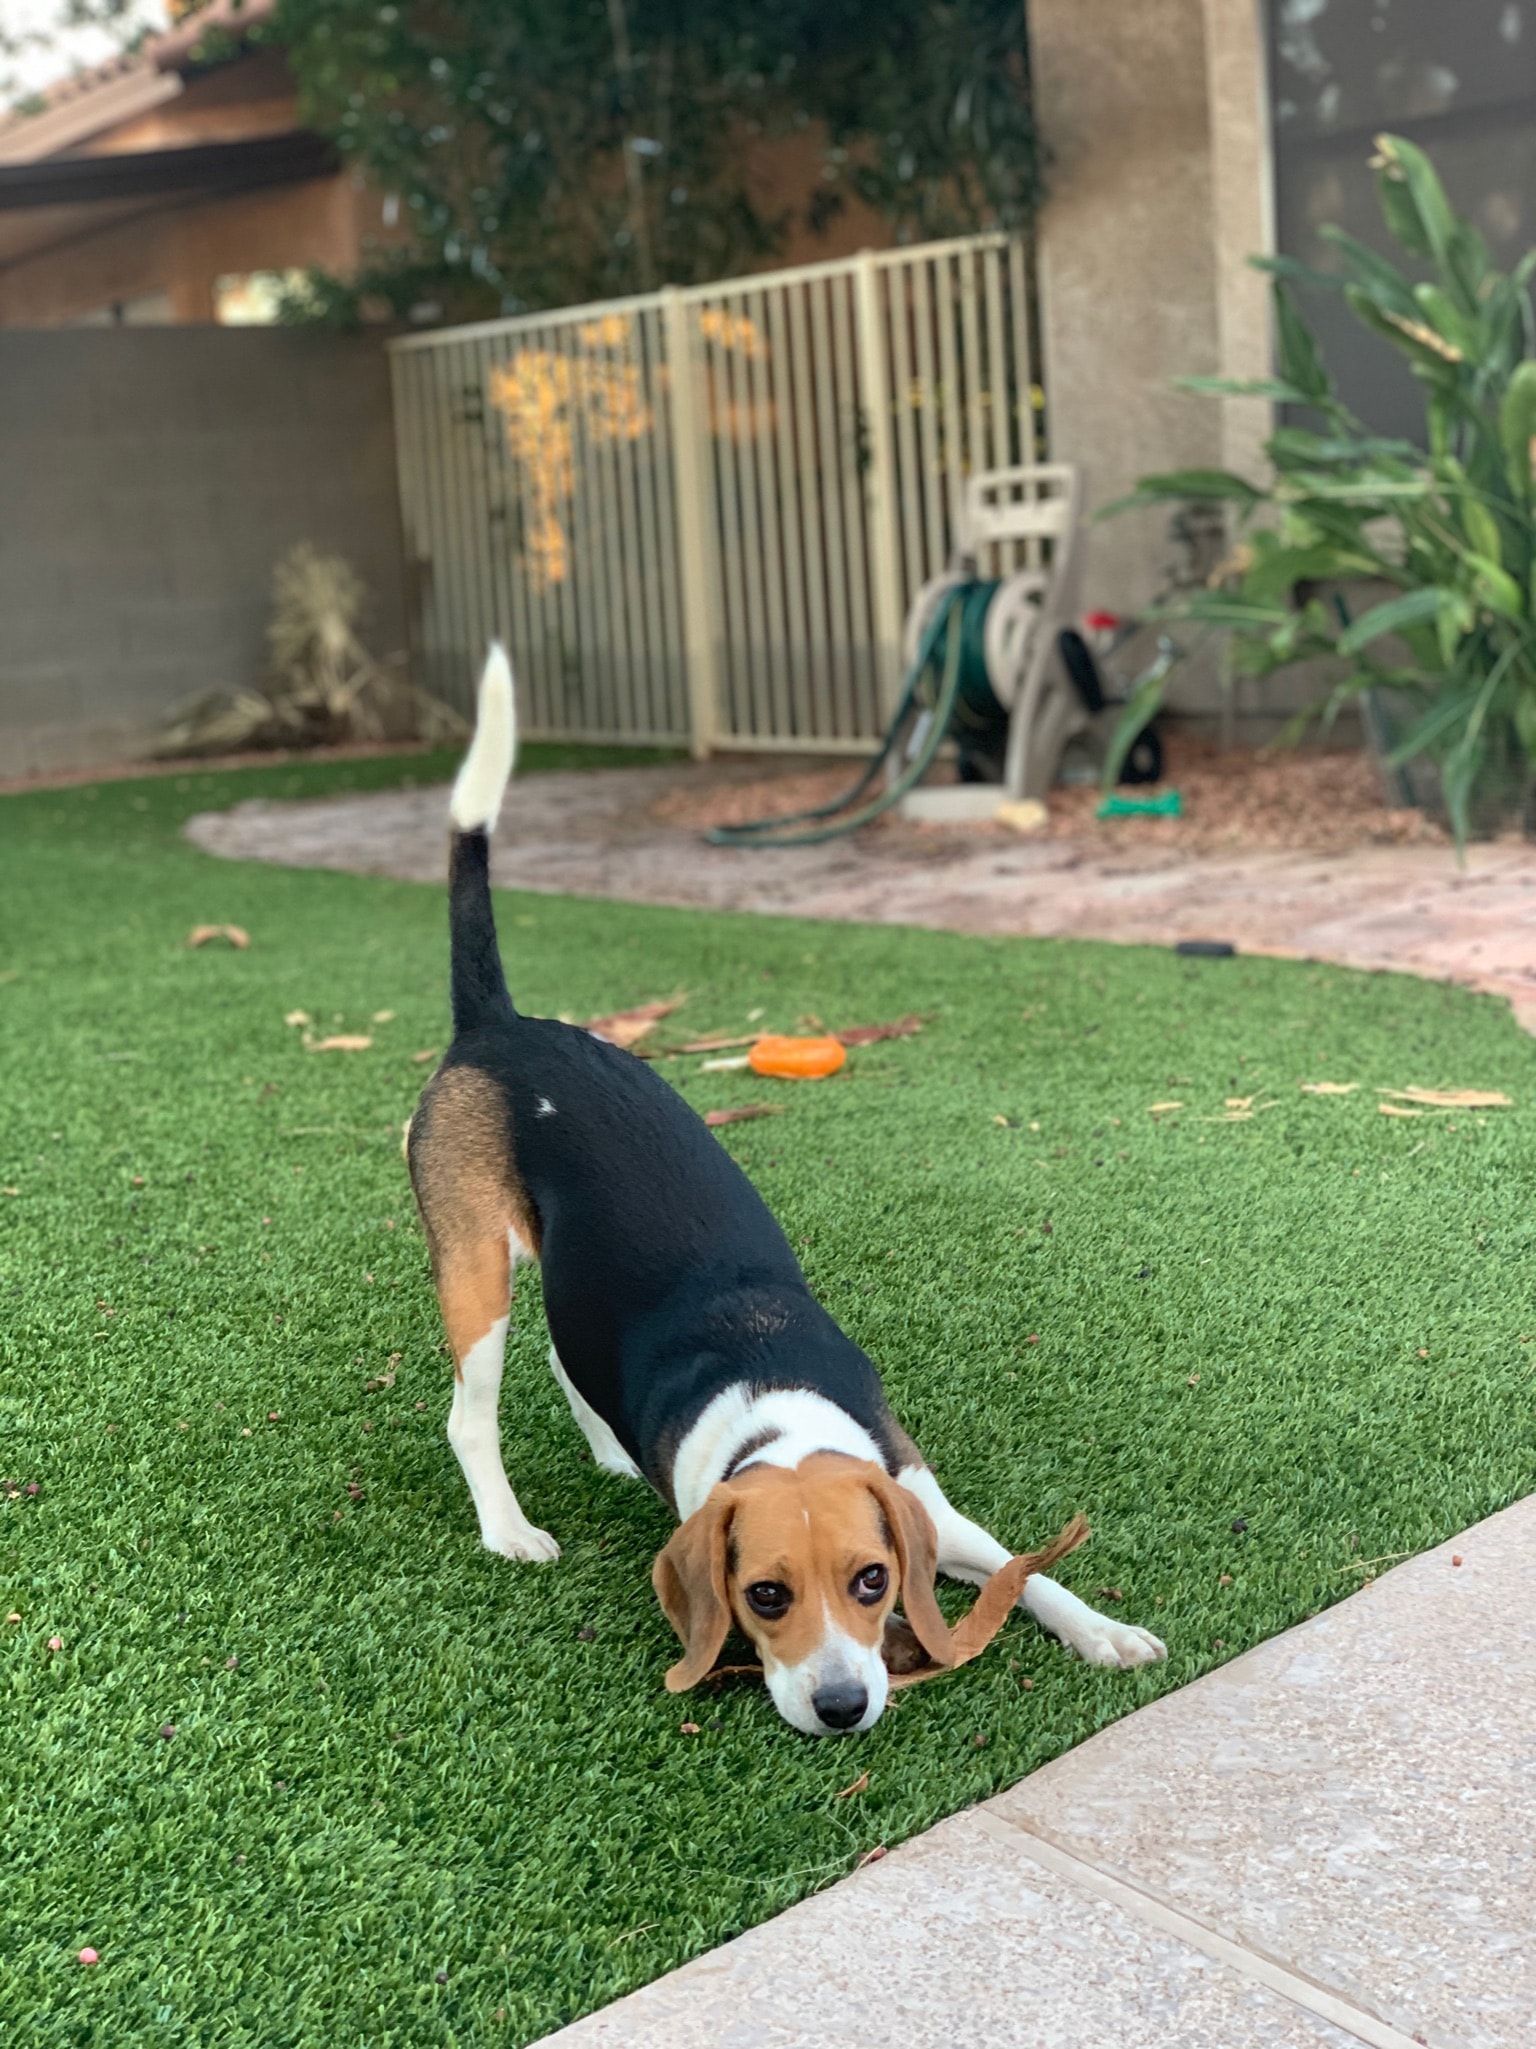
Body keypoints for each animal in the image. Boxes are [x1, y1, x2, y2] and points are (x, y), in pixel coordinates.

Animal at [409, 651, 1163, 1729]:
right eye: (764, 1596)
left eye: (872, 1581)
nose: (842, 1704)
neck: (776, 1413)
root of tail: (496, 1025)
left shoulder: (932, 1507)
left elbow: (1030, 1569)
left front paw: (1101, 1628)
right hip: (473, 1265)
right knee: (471, 1415)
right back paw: (509, 1528)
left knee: (566, 1352)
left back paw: (607, 1448)